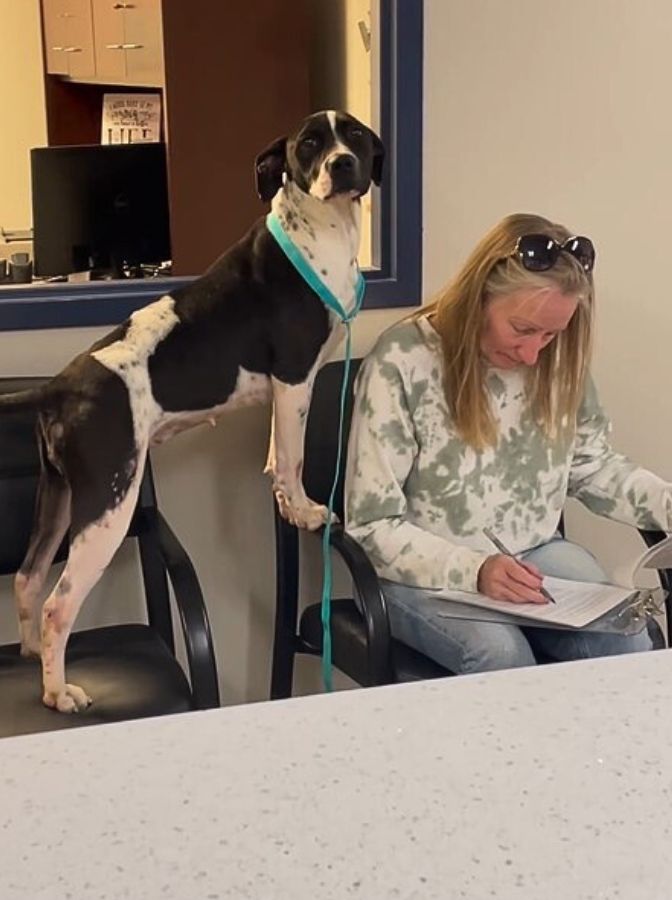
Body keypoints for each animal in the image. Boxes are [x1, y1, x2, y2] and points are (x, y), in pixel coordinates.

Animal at [1, 112, 384, 712]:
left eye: (358, 137)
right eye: (309, 144)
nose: (342, 164)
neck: (318, 229)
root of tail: (60, 386)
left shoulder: (283, 396)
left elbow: (278, 456)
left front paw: (285, 500)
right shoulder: (296, 380)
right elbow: (294, 460)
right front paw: (303, 511)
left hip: (57, 498)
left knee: (27, 577)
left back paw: (37, 661)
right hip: (107, 506)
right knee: (57, 604)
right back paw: (59, 692)